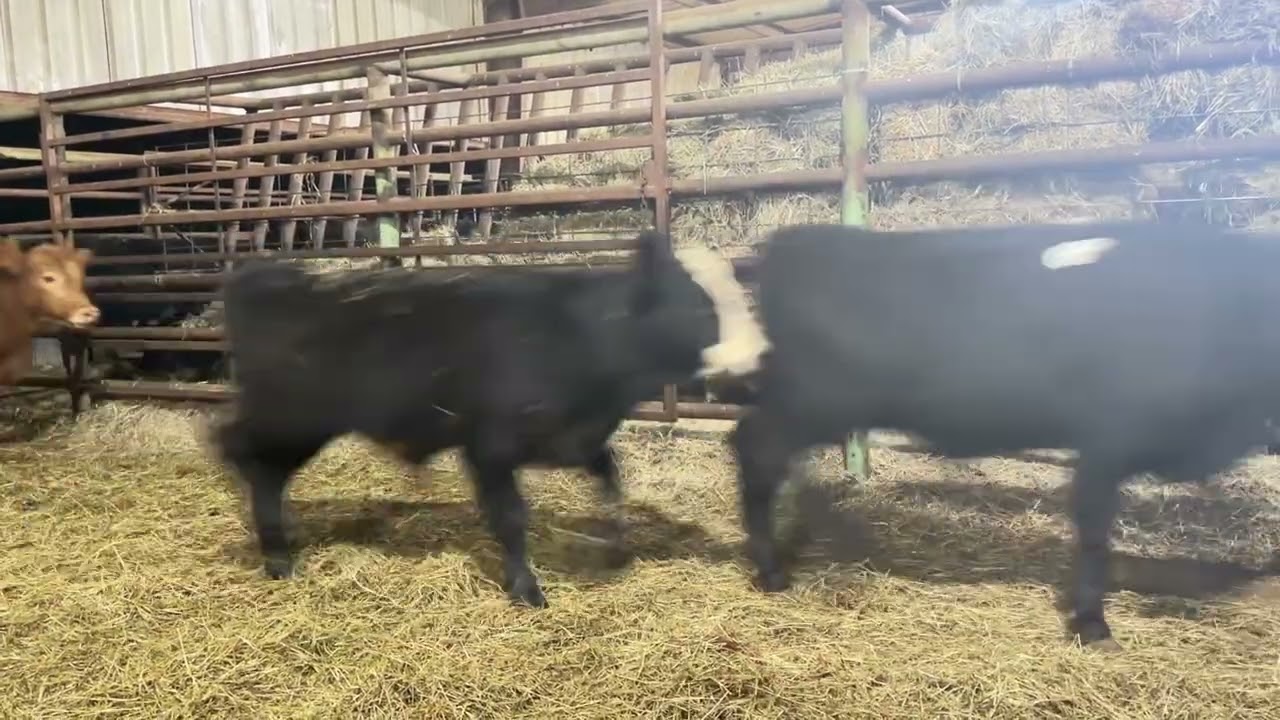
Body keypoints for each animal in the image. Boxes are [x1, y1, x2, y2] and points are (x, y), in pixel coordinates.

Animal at [213, 229, 763, 607]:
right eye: (699, 309)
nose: (757, 365)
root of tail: (268, 278)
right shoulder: (489, 446)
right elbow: (512, 517)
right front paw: (526, 589)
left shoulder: (571, 437)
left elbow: (610, 476)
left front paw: (615, 542)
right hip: (292, 418)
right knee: (242, 452)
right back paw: (276, 555)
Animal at [724, 220, 1280, 651]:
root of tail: (795, 243)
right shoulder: (1108, 438)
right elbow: (1095, 531)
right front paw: (1091, 623)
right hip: (814, 400)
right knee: (754, 449)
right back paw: (771, 572)